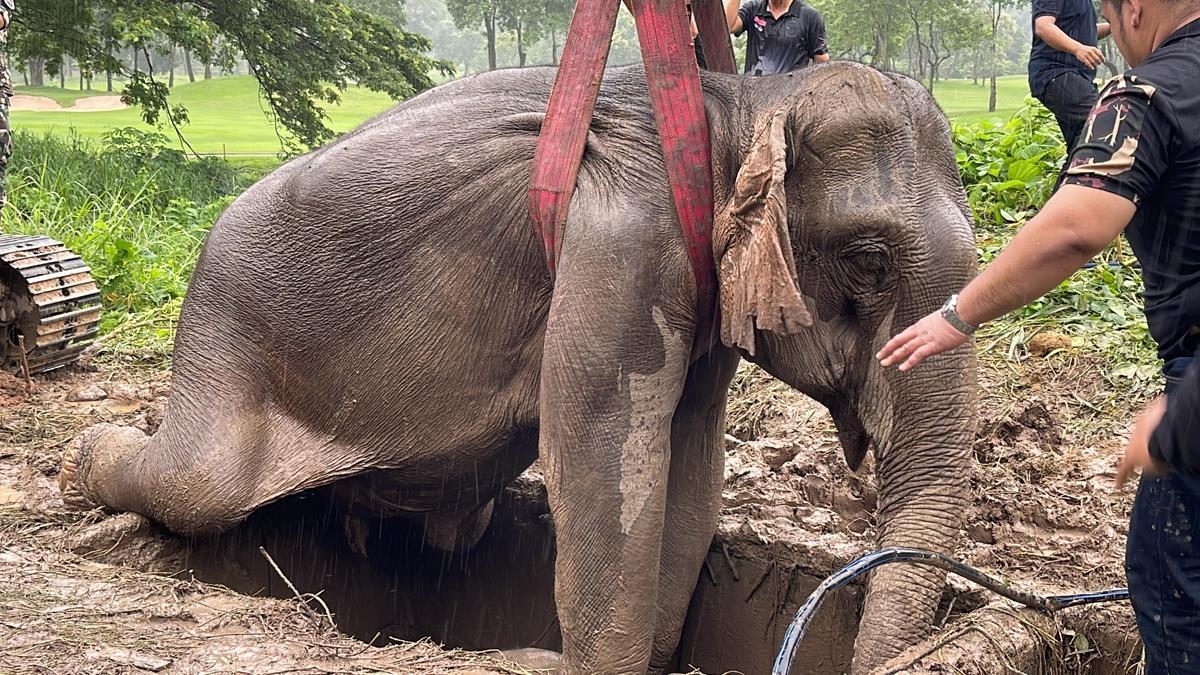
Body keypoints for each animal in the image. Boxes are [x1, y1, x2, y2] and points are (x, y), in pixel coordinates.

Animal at [58, 60, 974, 667]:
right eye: (868, 260)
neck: (737, 103)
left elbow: (690, 469)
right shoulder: (624, 244)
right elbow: (605, 461)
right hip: (225, 338)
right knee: (199, 481)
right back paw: (78, 464)